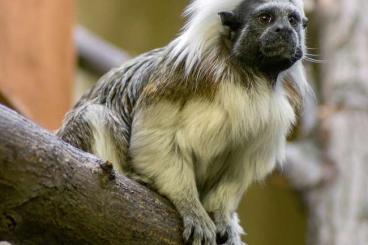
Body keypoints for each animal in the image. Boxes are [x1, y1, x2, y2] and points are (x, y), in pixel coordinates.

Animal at [57, 0, 310, 245]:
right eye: (265, 18)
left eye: (292, 20)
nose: (283, 30)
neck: (247, 76)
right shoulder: (180, 77)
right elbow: (155, 136)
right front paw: (191, 208)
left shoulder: (271, 120)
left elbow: (240, 164)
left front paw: (222, 216)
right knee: (94, 114)